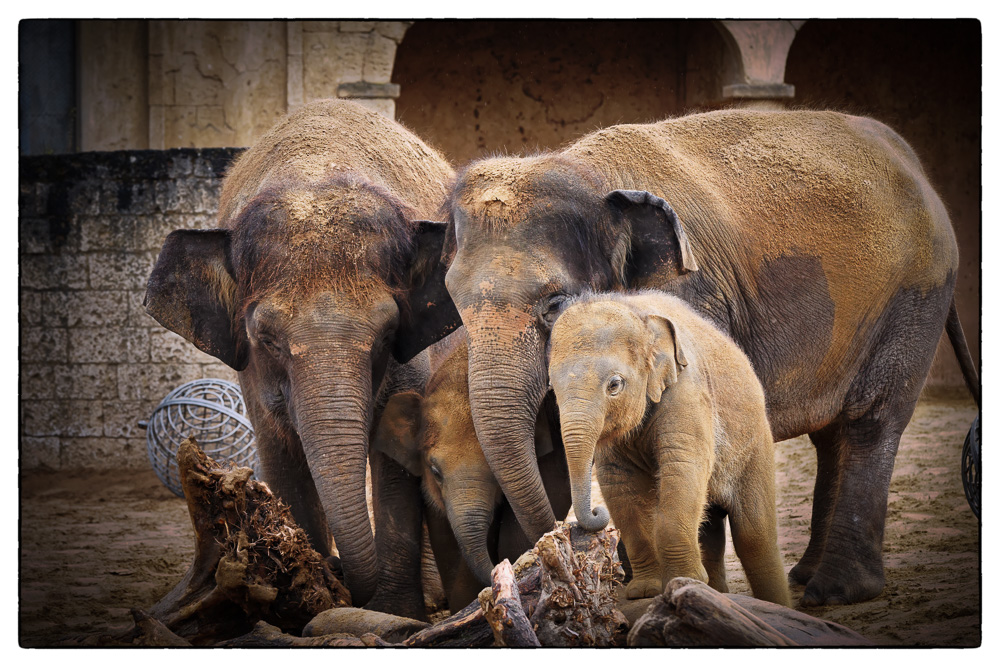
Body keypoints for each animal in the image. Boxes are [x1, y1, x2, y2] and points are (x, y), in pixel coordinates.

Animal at [144, 100, 460, 620]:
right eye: (267, 339)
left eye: (387, 334)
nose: (341, 572)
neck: (314, 172)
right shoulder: (249, 373)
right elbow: (281, 455)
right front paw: (311, 601)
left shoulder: (411, 358)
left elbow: (395, 458)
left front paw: (393, 612)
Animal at [548, 290, 788, 608]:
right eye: (552, 388)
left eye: (614, 385)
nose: (597, 513)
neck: (638, 315)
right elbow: (618, 483)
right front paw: (646, 592)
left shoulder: (688, 389)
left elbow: (682, 466)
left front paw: (682, 581)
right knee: (712, 529)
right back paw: (712, 593)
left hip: (755, 441)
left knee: (755, 536)